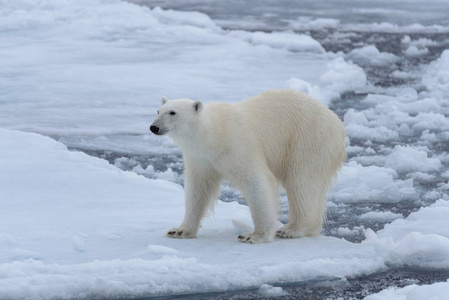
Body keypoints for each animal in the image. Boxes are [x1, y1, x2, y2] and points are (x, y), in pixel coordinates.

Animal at [150, 89, 346, 244]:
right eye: (158, 111)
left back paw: (291, 229)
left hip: (308, 140)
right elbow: (198, 188)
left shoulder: (236, 145)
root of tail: (337, 123)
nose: (154, 127)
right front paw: (179, 230)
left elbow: (256, 181)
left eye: (173, 112)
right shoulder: (200, 158)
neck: (213, 134)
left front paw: (254, 235)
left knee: (302, 182)